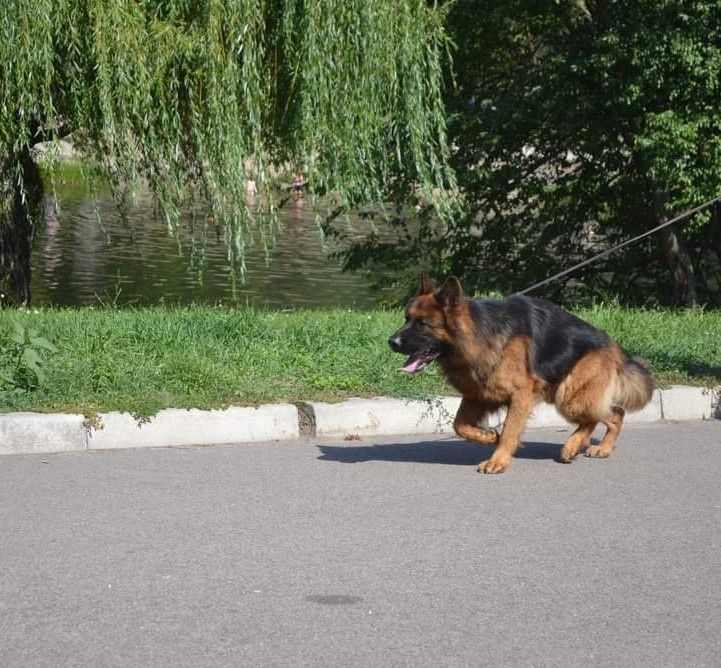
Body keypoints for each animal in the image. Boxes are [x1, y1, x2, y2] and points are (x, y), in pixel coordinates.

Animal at [390, 274, 656, 472]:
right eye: (406, 319)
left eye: (422, 324)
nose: (391, 342)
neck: (479, 333)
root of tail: (613, 346)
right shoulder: (479, 395)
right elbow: (460, 426)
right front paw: (489, 437)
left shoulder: (520, 395)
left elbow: (509, 430)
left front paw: (498, 460)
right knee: (611, 414)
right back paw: (587, 446)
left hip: (568, 396)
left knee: (609, 415)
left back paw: (584, 447)